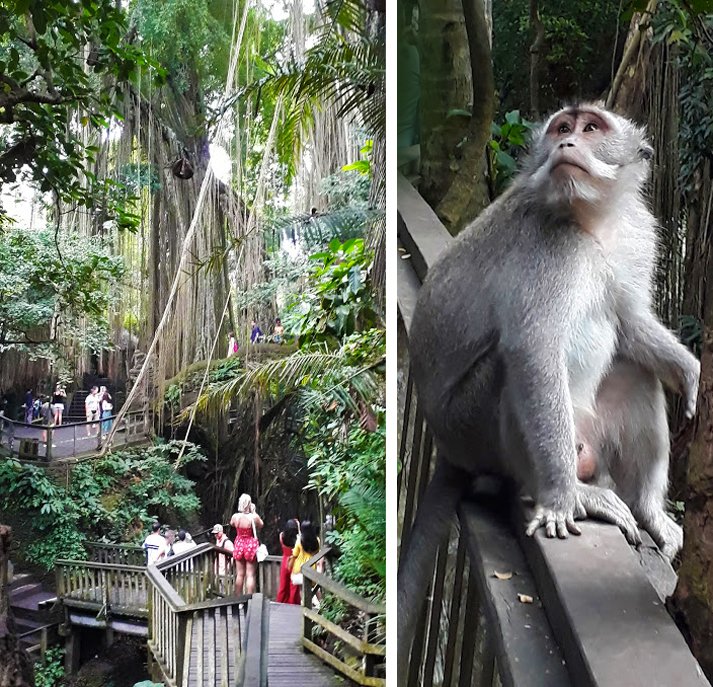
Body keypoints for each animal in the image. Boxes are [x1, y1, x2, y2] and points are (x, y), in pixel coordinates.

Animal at [398, 104, 699, 678]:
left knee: (632, 371)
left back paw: (648, 510)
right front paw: (561, 498)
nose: (565, 146)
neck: (592, 221)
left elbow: (630, 323)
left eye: (591, 128)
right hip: (474, 429)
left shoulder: (639, 235)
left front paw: (687, 368)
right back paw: (558, 489)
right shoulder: (550, 246)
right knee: (508, 371)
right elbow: (533, 353)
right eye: (562, 127)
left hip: (586, 429)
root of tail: (449, 448)